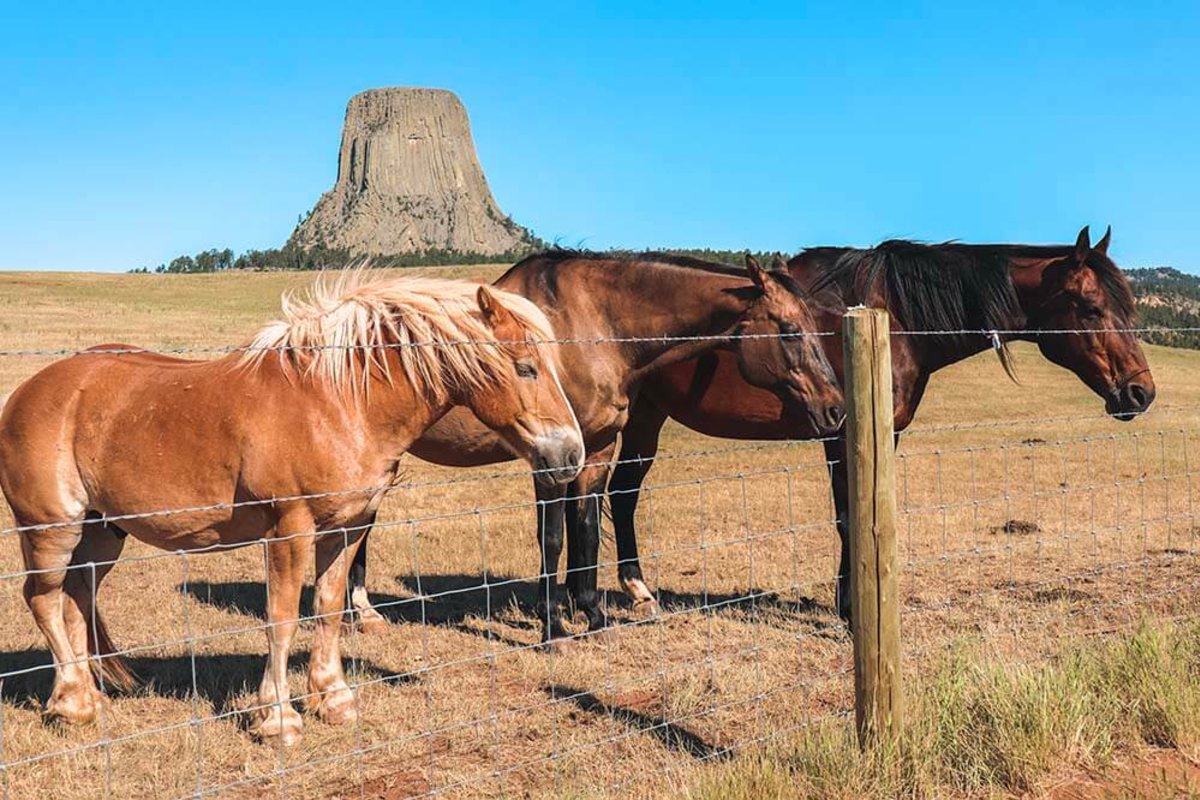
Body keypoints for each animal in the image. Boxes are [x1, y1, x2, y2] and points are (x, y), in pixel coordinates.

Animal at [0, 274, 584, 745]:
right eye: (527, 368)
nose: (570, 455)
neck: (336, 401)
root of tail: (28, 393)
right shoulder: (290, 531)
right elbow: (282, 619)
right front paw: (278, 717)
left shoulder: (347, 528)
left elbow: (328, 608)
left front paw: (334, 698)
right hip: (51, 527)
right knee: (43, 599)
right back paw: (71, 703)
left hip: (102, 531)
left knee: (78, 596)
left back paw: (94, 691)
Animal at [348, 252, 845, 644]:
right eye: (789, 330)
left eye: (817, 328)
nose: (835, 409)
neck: (590, 328)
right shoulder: (548, 458)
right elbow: (552, 535)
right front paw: (552, 628)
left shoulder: (596, 449)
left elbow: (585, 528)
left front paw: (592, 615)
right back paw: (363, 612)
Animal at [605, 226, 1156, 620]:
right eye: (1091, 308)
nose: (1141, 392)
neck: (894, 317)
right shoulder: (842, 432)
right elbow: (849, 518)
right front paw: (851, 611)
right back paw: (634, 590)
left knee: (619, 492)